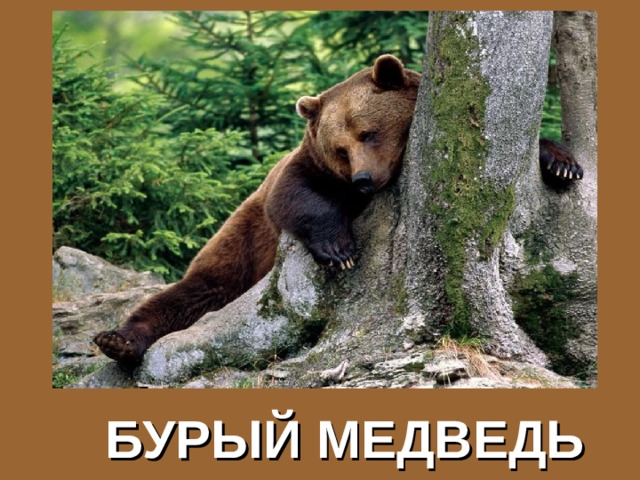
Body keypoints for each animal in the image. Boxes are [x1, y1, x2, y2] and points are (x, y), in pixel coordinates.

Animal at [93, 54, 422, 365]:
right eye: (341, 150)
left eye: (368, 133)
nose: (363, 179)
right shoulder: (312, 168)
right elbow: (292, 195)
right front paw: (338, 250)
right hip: (241, 242)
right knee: (195, 292)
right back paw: (117, 340)